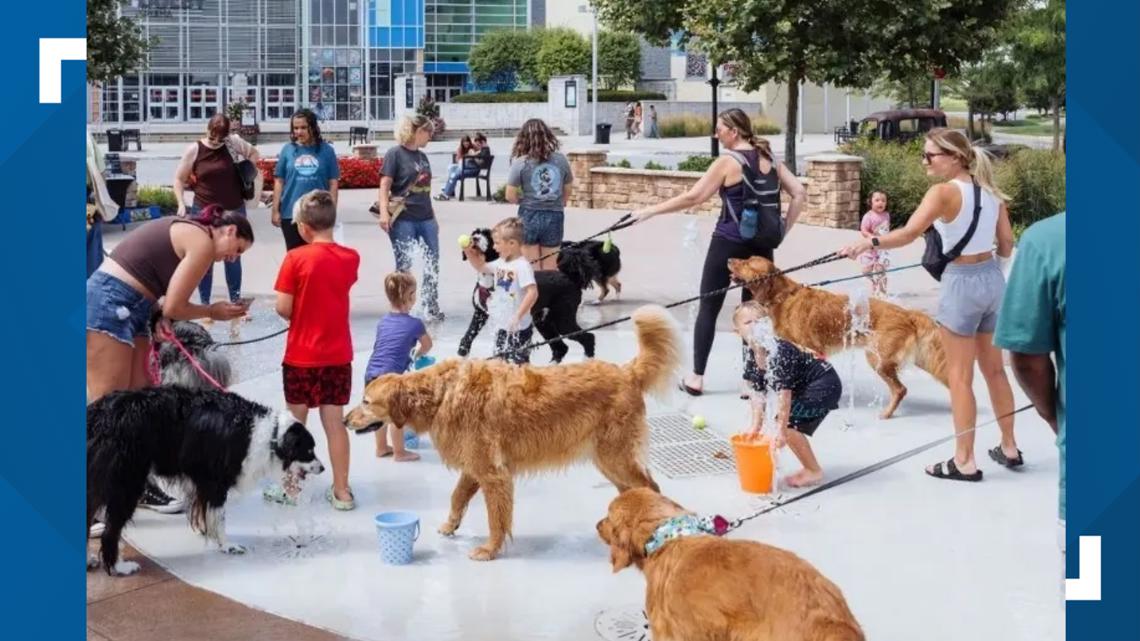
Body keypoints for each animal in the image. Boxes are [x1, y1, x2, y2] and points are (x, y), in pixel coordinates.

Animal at [342, 303, 679, 558]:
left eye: (366, 401)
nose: (345, 420)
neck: (441, 394)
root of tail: (627, 371)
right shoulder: (474, 465)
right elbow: (456, 497)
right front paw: (450, 526)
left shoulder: (494, 474)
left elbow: (495, 518)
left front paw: (489, 550)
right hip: (607, 459)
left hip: (615, 456)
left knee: (651, 486)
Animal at [460, 228, 606, 360]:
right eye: (475, 233)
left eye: (488, 235)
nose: (475, 238)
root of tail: (570, 277)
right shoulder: (480, 313)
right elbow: (468, 337)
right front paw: (462, 354)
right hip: (544, 321)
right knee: (560, 348)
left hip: (563, 319)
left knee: (588, 338)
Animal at [725, 254, 948, 419]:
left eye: (747, 263)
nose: (729, 259)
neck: (782, 296)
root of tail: (907, 313)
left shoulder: (808, 350)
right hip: (919, 357)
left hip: (878, 359)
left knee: (900, 389)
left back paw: (886, 413)